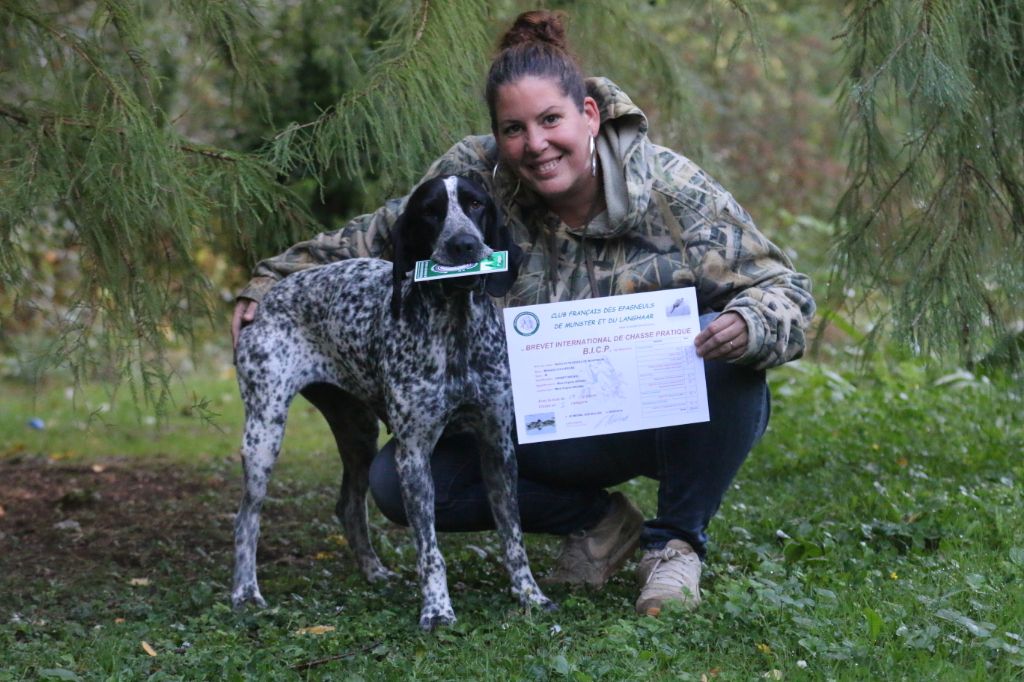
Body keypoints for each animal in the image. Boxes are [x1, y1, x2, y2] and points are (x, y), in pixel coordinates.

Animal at [231, 174, 557, 626]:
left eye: (475, 204)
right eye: (430, 211)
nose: (464, 245)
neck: (455, 328)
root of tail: (268, 299)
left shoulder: (497, 447)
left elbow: (513, 535)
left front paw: (529, 594)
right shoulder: (414, 456)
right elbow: (430, 550)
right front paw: (437, 610)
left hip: (358, 434)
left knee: (349, 507)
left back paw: (373, 571)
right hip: (264, 434)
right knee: (246, 520)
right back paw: (245, 592)